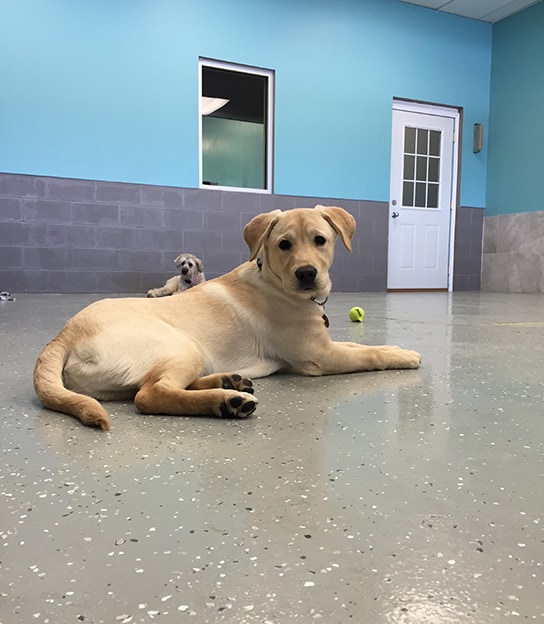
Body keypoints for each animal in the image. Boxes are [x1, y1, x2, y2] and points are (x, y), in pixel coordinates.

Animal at [34, 205, 420, 428]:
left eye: (320, 240)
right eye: (284, 245)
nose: (307, 274)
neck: (273, 281)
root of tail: (64, 333)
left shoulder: (323, 342)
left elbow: (361, 346)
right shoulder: (319, 356)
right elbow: (367, 354)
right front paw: (403, 355)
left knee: (157, 387)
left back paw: (230, 383)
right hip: (181, 345)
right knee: (150, 395)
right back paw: (226, 402)